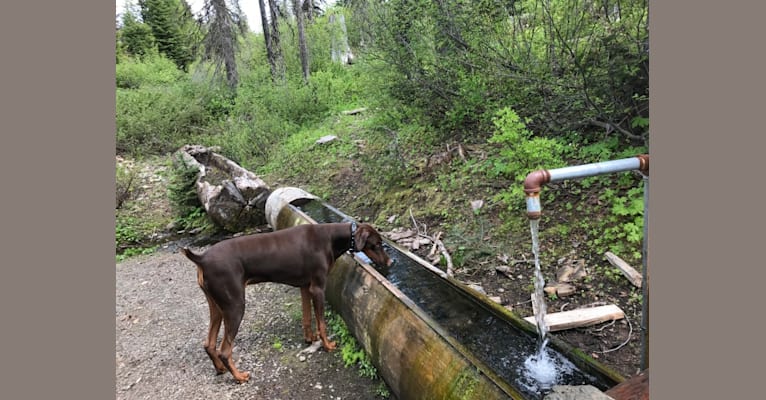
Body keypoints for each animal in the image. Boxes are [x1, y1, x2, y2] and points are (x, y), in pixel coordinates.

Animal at [182, 223, 390, 382]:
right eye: (377, 244)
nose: (389, 263)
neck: (330, 238)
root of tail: (202, 258)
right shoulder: (318, 288)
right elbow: (321, 322)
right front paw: (327, 345)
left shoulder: (305, 287)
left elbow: (307, 317)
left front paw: (309, 338)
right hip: (235, 306)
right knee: (225, 350)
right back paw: (240, 376)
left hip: (217, 306)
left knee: (208, 344)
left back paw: (220, 369)